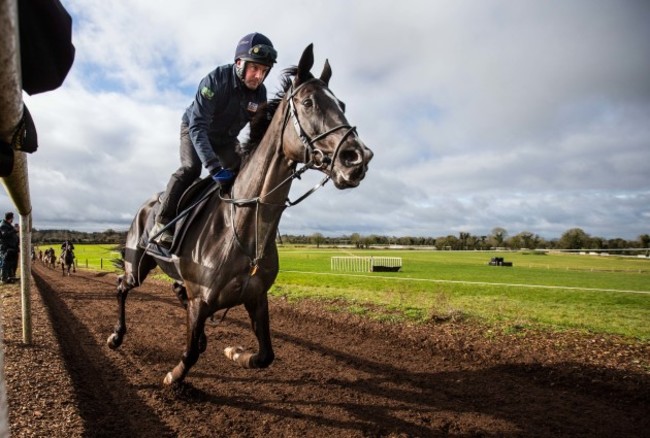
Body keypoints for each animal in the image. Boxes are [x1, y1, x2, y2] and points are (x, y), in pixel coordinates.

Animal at [104, 44, 372, 384]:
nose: (358, 158)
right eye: (309, 102)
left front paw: (234, 352)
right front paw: (175, 375)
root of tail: (146, 206)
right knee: (121, 285)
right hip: (137, 265)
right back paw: (116, 335)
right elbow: (188, 354)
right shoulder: (202, 298)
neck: (244, 226)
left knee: (176, 291)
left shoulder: (256, 297)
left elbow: (266, 355)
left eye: (342, 104)